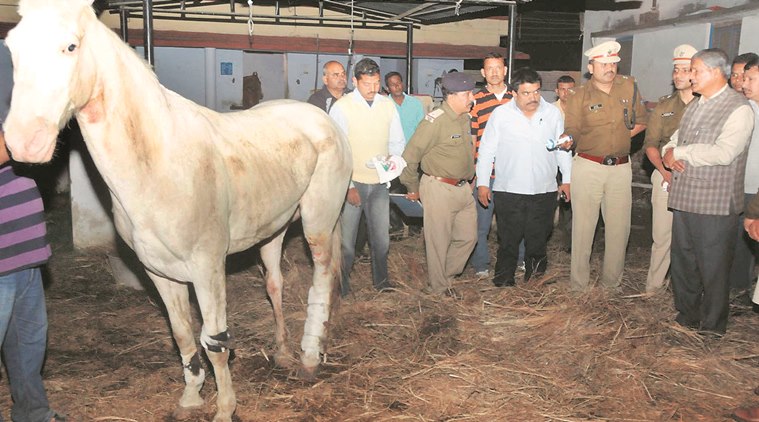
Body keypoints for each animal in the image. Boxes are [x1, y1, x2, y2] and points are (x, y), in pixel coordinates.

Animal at [3, 1, 354, 420]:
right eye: (12, 46)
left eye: (71, 46)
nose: (24, 141)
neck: (158, 163)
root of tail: (325, 119)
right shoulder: (160, 273)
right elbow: (183, 335)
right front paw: (190, 397)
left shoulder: (207, 270)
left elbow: (215, 343)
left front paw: (224, 408)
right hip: (274, 229)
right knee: (275, 285)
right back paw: (283, 351)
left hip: (318, 223)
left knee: (322, 277)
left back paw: (311, 354)